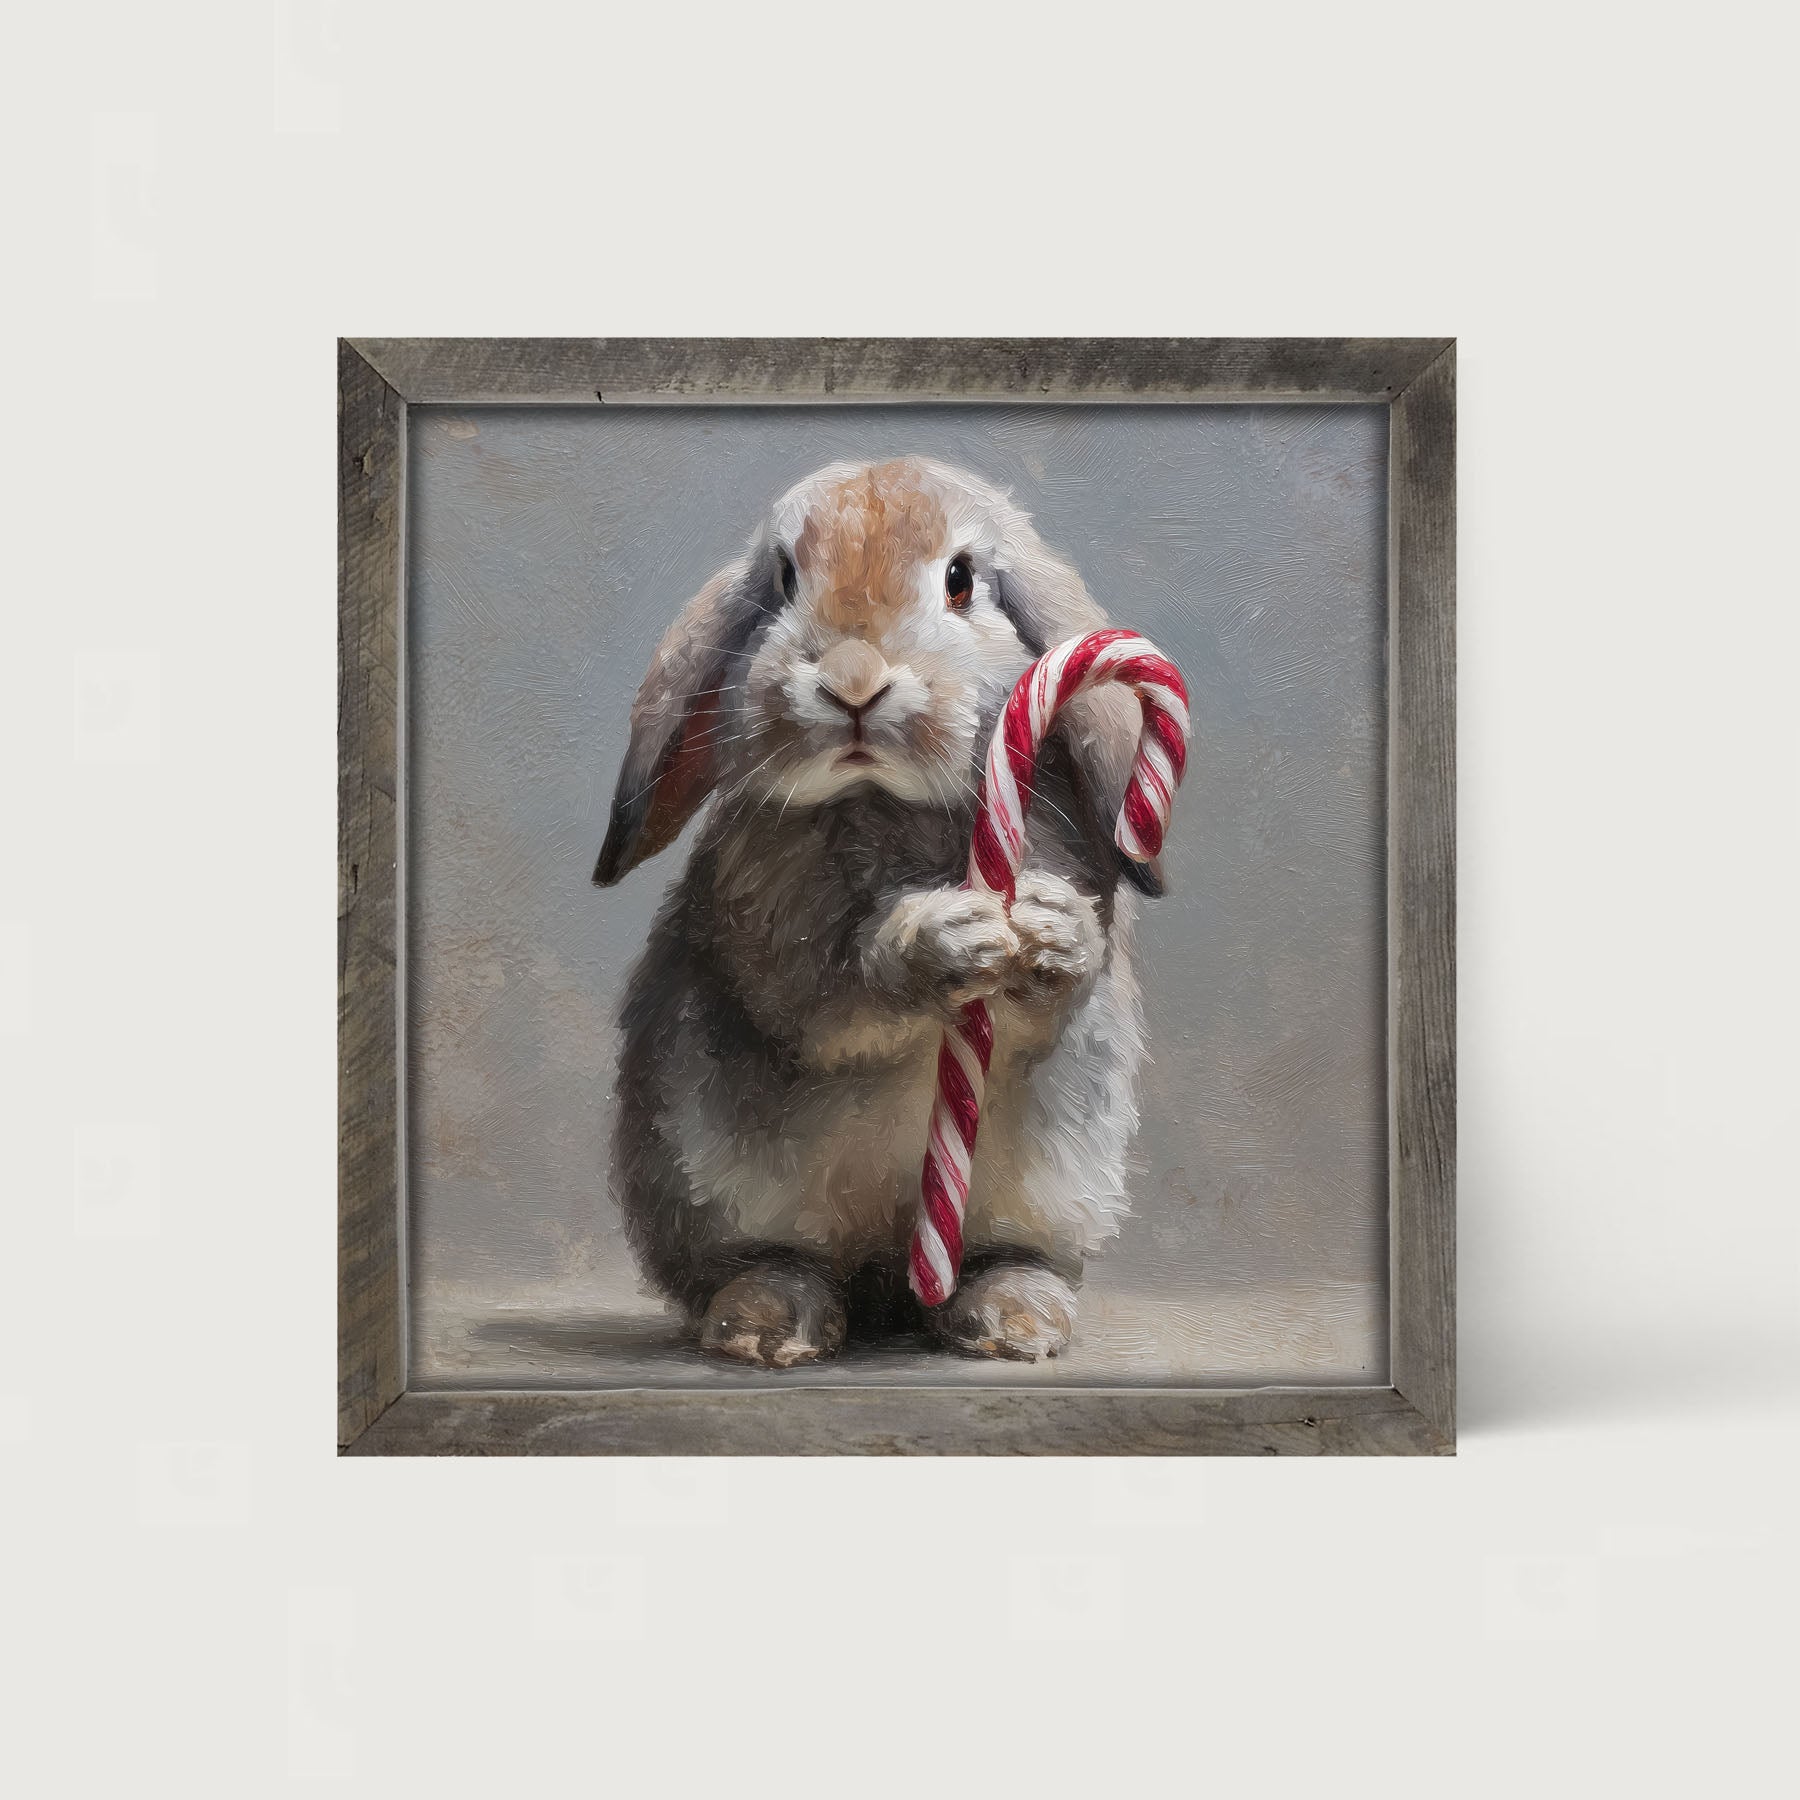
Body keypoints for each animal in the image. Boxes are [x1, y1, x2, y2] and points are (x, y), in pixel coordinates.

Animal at [592, 457, 1168, 1367]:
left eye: (961, 580)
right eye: (786, 579)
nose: (853, 683)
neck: (894, 803)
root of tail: (888, 1282)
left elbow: (1057, 989)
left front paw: (1049, 929)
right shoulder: (773, 930)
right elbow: (832, 994)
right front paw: (945, 937)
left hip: (1059, 1180)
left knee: (1011, 1257)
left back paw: (1013, 1320)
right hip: (707, 1181)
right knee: (765, 1263)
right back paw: (766, 1324)